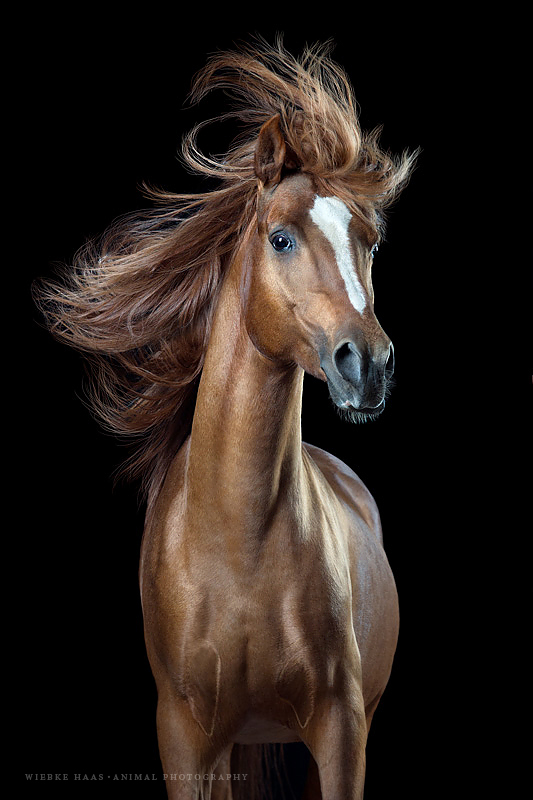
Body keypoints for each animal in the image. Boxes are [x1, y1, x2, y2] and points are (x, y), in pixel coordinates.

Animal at [35, 40, 417, 799]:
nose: (368, 365)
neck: (239, 547)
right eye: (280, 238)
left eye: (370, 243)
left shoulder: (342, 732)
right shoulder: (185, 737)